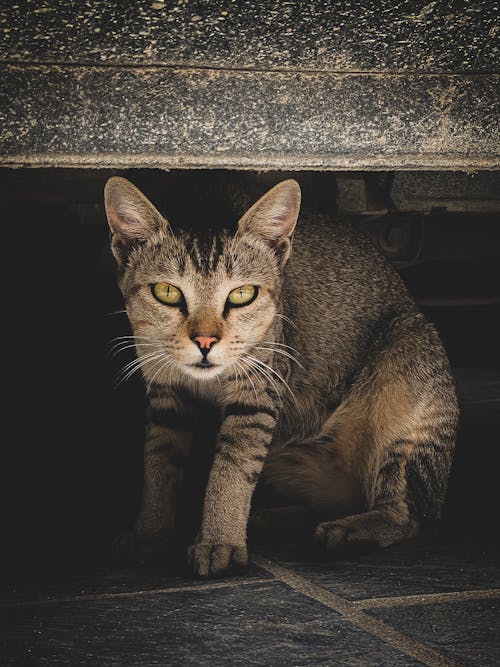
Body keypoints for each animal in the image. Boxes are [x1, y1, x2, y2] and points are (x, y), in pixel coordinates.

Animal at [103, 175, 458, 576]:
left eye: (242, 294)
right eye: (166, 292)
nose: (205, 341)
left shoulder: (257, 391)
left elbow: (231, 469)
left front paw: (219, 541)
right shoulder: (166, 395)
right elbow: (159, 466)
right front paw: (150, 534)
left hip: (409, 362)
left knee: (408, 515)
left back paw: (351, 529)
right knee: (334, 501)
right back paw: (272, 520)